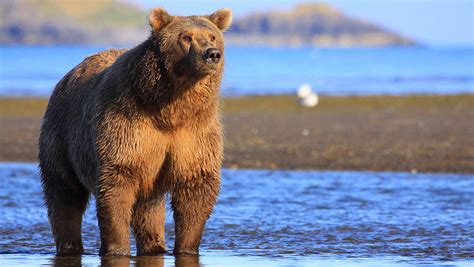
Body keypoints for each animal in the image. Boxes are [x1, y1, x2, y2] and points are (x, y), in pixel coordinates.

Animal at [38, 7, 232, 256]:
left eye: (212, 36)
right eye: (186, 37)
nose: (212, 54)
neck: (169, 108)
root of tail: (68, 75)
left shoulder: (195, 132)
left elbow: (196, 187)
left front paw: (187, 248)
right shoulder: (128, 125)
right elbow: (118, 182)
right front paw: (116, 249)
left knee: (148, 206)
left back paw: (154, 247)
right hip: (61, 136)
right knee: (64, 192)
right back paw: (70, 246)